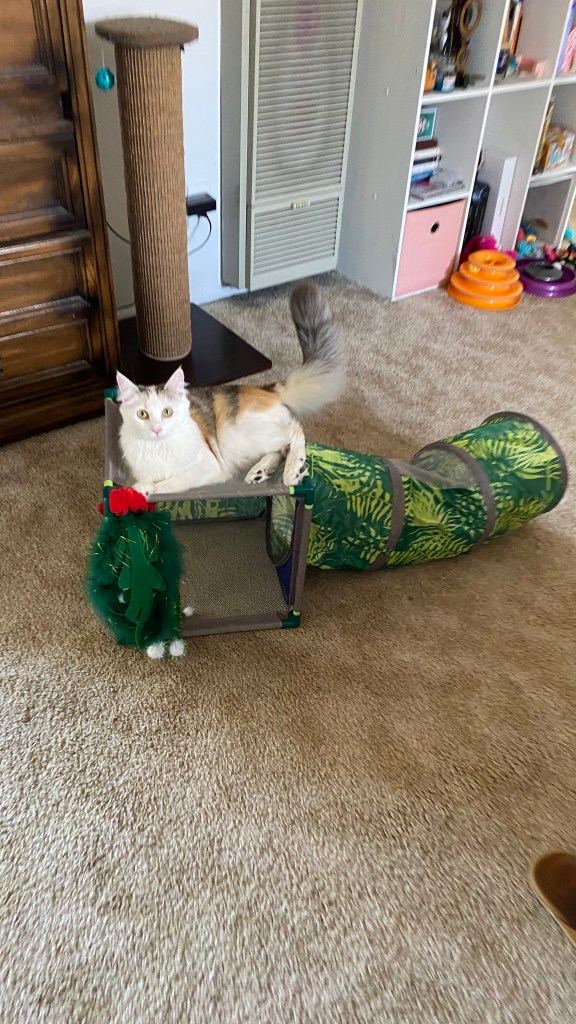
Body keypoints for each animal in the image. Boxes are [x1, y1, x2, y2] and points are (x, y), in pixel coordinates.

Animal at [116, 280, 344, 496]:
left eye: (167, 412)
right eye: (142, 414)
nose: (156, 429)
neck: (159, 448)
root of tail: (268, 388)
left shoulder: (209, 465)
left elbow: (168, 484)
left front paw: (151, 489)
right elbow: (144, 482)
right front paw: (139, 489)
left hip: (241, 437)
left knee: (295, 432)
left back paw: (292, 471)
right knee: (282, 447)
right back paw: (259, 472)